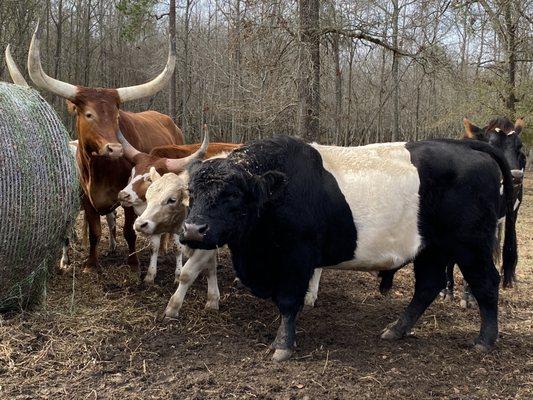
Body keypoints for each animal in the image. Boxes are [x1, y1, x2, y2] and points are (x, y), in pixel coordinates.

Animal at [23, 23, 184, 274]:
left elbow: (129, 231)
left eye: (116, 115)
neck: (101, 170)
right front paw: (91, 263)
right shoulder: (87, 199)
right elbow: (95, 232)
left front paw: (133, 263)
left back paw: (165, 248)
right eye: (89, 114)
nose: (115, 149)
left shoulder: (128, 196)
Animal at [179, 135, 516, 362]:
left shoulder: (297, 257)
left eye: (233, 194)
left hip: (471, 244)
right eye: (191, 192)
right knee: (427, 286)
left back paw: (486, 340)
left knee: (486, 283)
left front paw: (283, 345)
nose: (193, 230)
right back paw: (397, 329)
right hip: (432, 248)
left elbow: (288, 302)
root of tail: (466, 146)